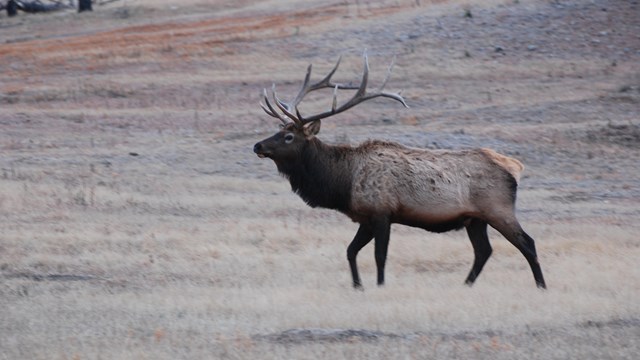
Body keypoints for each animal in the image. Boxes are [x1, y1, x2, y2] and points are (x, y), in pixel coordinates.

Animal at [254, 53, 544, 290]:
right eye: (278, 131)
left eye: (289, 136)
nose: (258, 145)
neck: (342, 183)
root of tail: (514, 167)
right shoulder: (365, 217)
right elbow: (350, 251)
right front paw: (357, 286)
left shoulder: (382, 212)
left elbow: (379, 255)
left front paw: (380, 285)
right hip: (475, 219)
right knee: (484, 251)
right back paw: (466, 285)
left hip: (498, 209)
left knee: (527, 243)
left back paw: (541, 285)